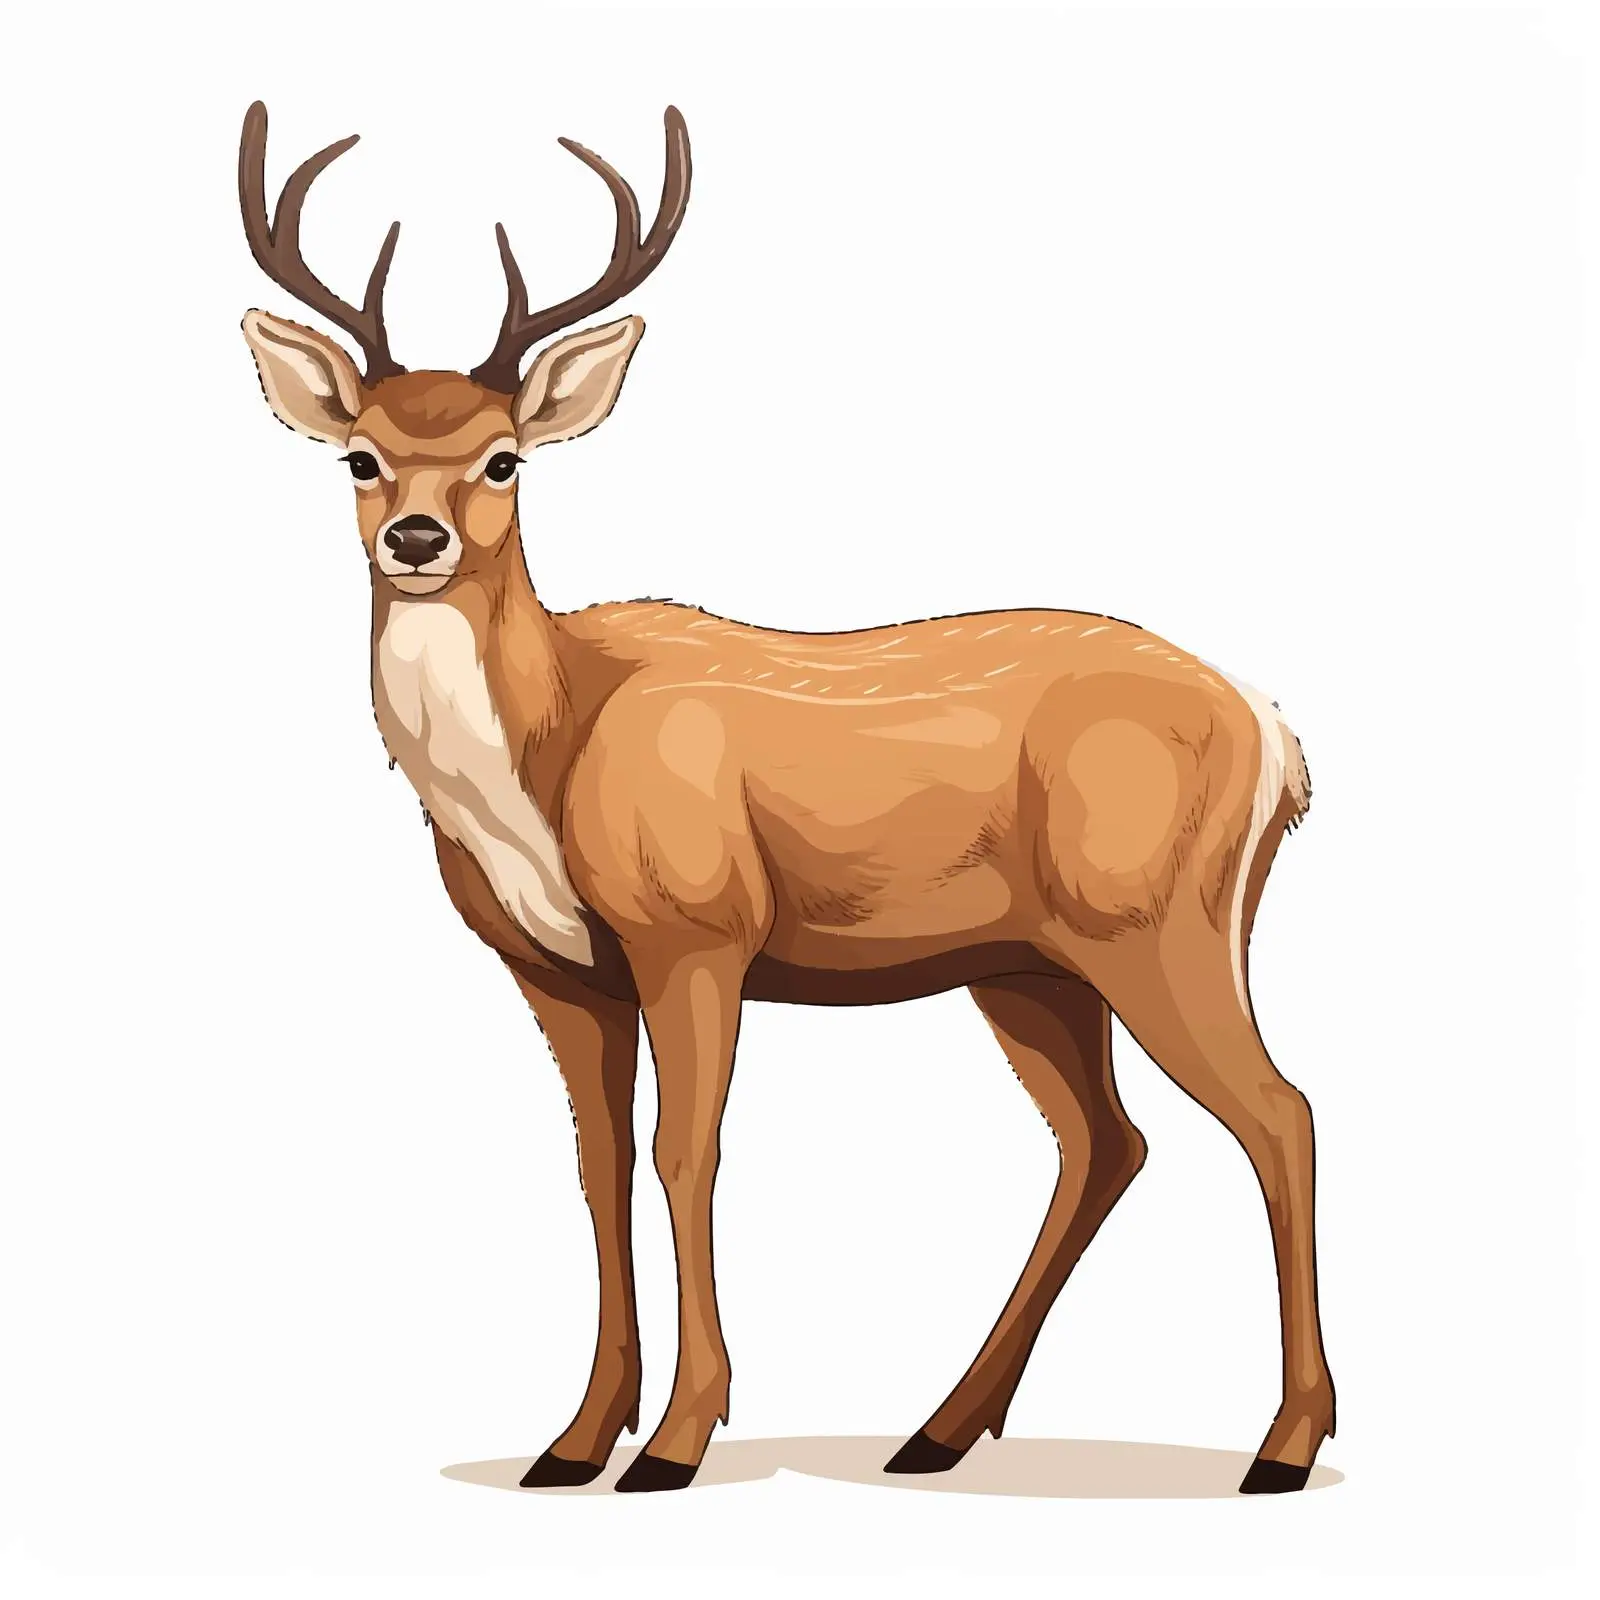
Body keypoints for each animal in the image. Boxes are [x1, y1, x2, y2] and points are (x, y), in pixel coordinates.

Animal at [237, 99, 1335, 1496]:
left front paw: (674, 1442)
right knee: (1106, 1141)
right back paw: (937, 1428)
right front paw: (573, 1440)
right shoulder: (557, 969)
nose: (416, 539)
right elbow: (597, 1164)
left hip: (1158, 924)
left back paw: (1281, 1446)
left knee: (1280, 1114)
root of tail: (1276, 735)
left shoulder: (697, 929)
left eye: (502, 460)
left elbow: (684, 1153)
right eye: (360, 457)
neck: (549, 751)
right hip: (1025, 963)